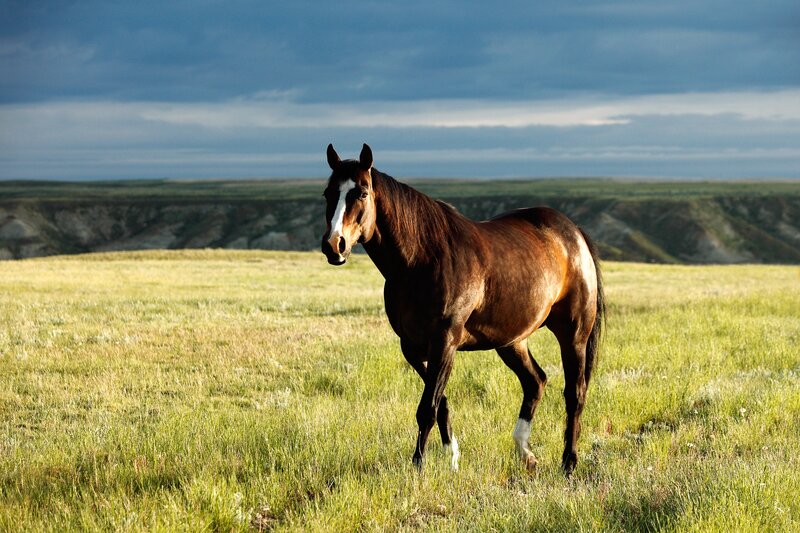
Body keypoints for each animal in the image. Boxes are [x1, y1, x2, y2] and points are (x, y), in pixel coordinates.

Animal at [320, 144, 605, 475]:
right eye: (328, 193)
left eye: (362, 193)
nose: (334, 245)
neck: (421, 259)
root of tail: (574, 233)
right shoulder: (412, 347)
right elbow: (440, 402)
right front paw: (452, 457)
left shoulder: (444, 342)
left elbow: (427, 408)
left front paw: (418, 466)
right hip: (512, 341)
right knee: (535, 381)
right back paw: (525, 453)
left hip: (574, 335)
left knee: (575, 394)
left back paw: (568, 463)